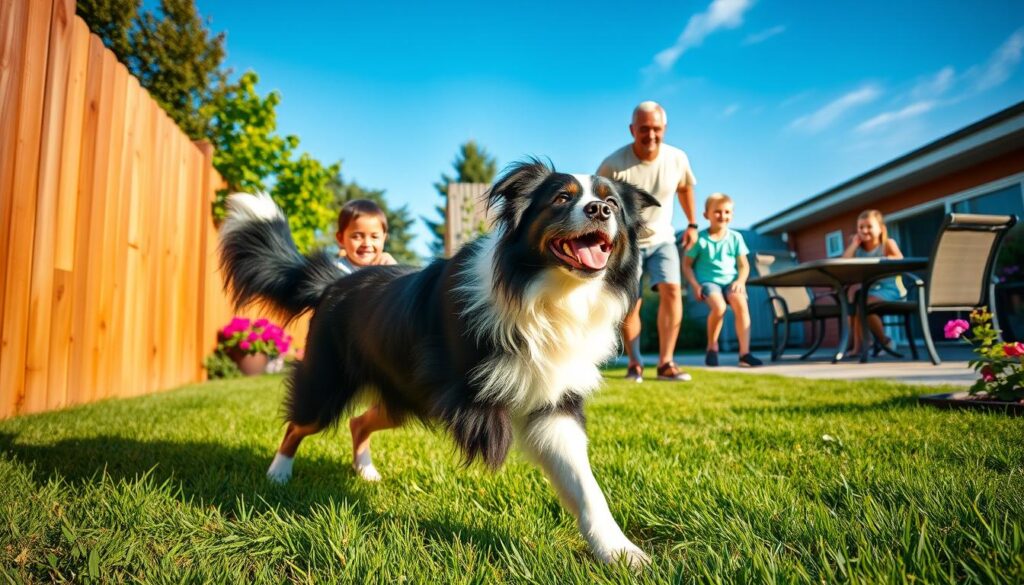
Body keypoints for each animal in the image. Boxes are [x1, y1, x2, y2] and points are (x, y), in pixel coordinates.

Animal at [220, 157, 659, 565]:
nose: (599, 211)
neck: (550, 293)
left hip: (404, 397)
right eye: (562, 198)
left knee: (358, 421)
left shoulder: (555, 403)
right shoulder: (474, 394)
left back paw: (365, 470)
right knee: (299, 424)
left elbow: (584, 484)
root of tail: (335, 281)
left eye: (612, 203)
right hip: (328, 385)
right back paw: (278, 474)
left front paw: (619, 551)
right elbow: (497, 421)